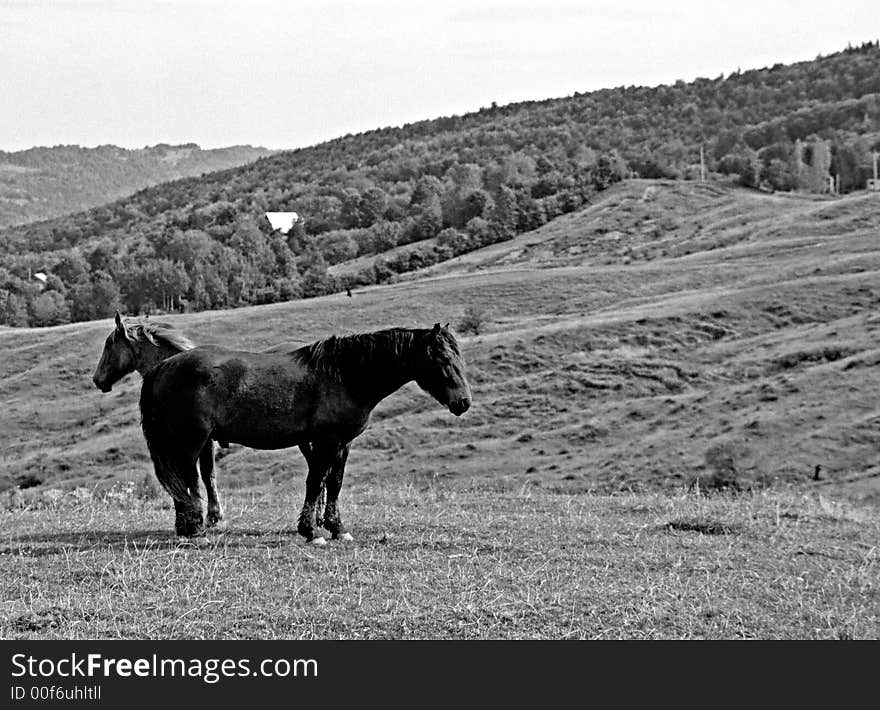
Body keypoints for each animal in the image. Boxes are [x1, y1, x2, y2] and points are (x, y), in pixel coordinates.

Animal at [138, 326, 470, 548]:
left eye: (458, 356)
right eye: (441, 358)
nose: (463, 402)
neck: (344, 376)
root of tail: (163, 367)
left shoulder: (342, 444)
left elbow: (333, 484)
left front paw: (337, 528)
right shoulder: (327, 441)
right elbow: (316, 482)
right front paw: (312, 532)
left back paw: (187, 528)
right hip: (191, 440)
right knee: (188, 480)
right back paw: (195, 531)